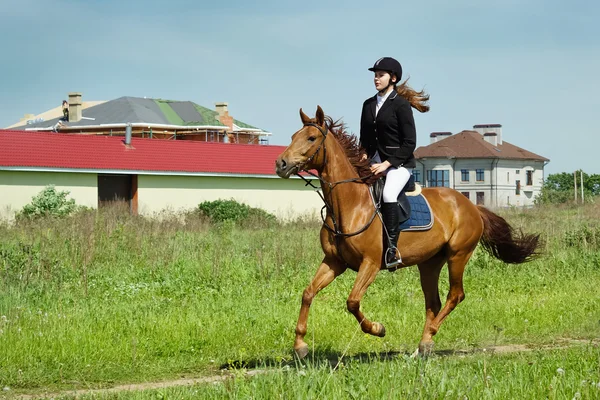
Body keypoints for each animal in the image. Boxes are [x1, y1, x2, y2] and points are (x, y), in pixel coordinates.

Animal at [274, 104, 540, 358]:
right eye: (293, 136)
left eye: (311, 138)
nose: (280, 164)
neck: (349, 205)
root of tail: (472, 205)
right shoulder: (334, 261)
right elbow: (308, 293)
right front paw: (300, 345)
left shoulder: (370, 263)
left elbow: (352, 301)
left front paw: (378, 329)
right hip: (430, 263)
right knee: (433, 303)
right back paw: (423, 345)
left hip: (458, 255)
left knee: (455, 295)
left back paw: (428, 337)